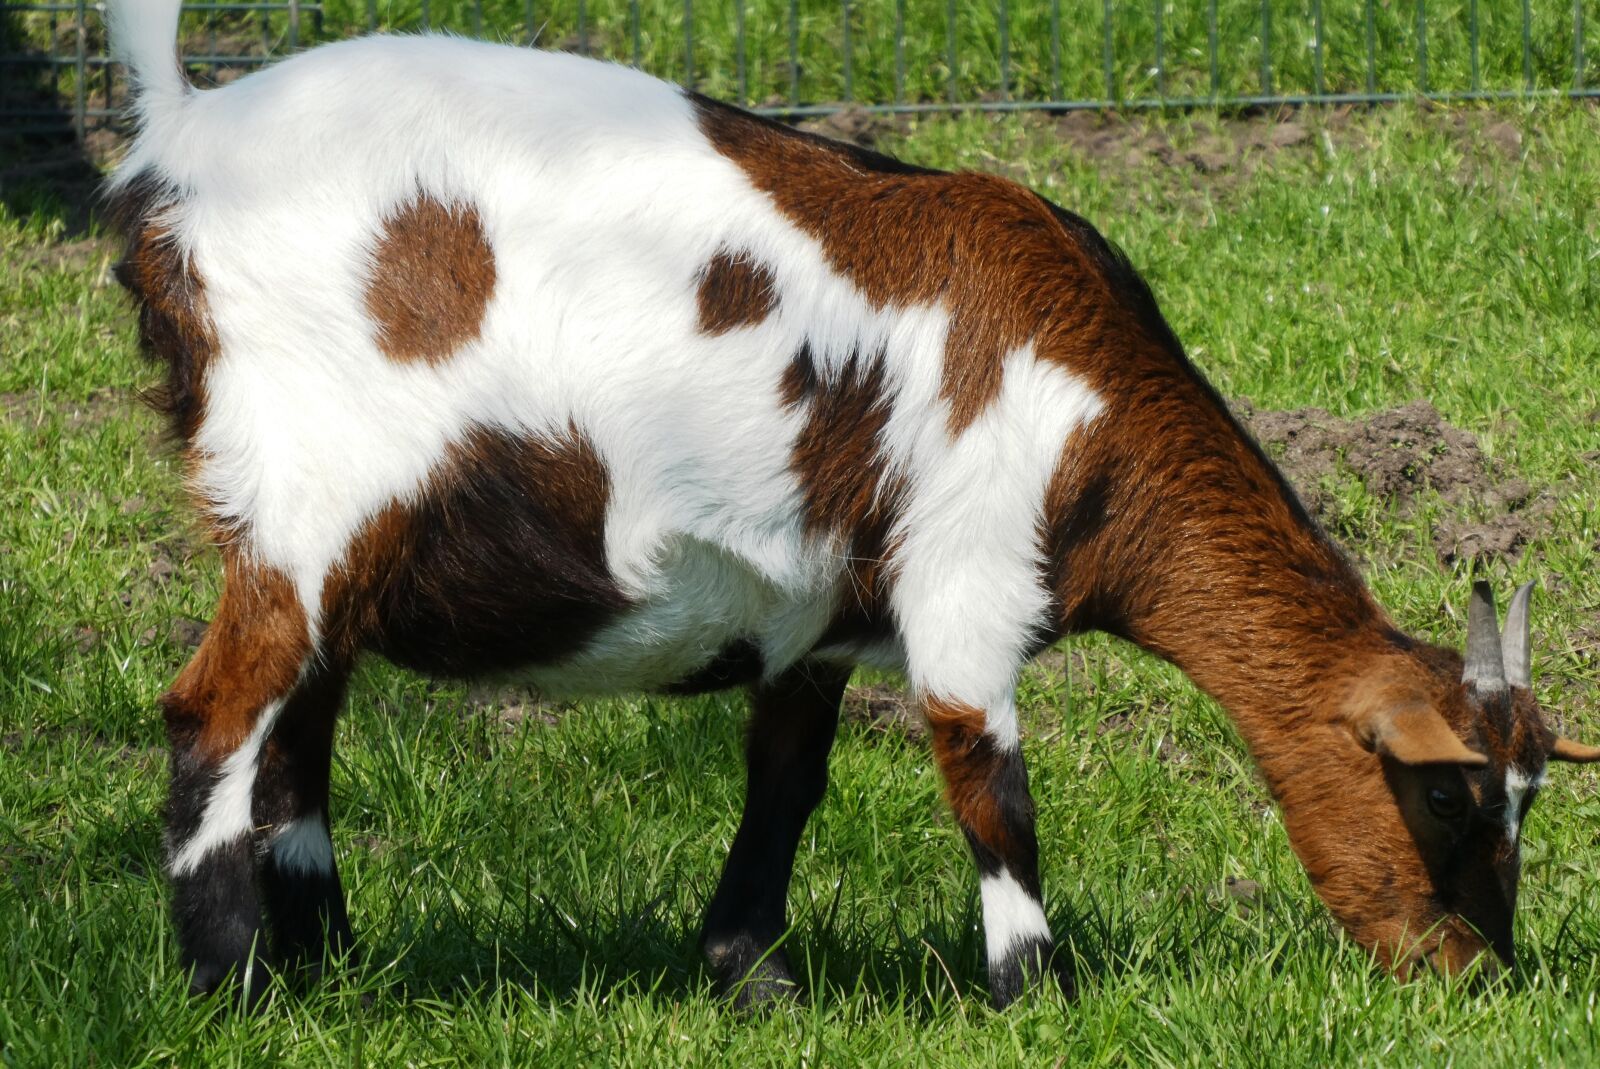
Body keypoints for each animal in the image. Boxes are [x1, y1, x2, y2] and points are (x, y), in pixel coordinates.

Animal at [105, 1, 1598, 1009]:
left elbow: (789, 778)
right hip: (309, 498)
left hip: (335, 548)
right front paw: (1036, 994)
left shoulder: (814, 609)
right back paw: (236, 984)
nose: (1471, 970)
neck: (1085, 409)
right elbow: (991, 788)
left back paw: (332, 968)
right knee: (215, 716)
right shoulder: (966, 586)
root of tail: (187, 140)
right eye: (1450, 795)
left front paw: (749, 974)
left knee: (298, 731)